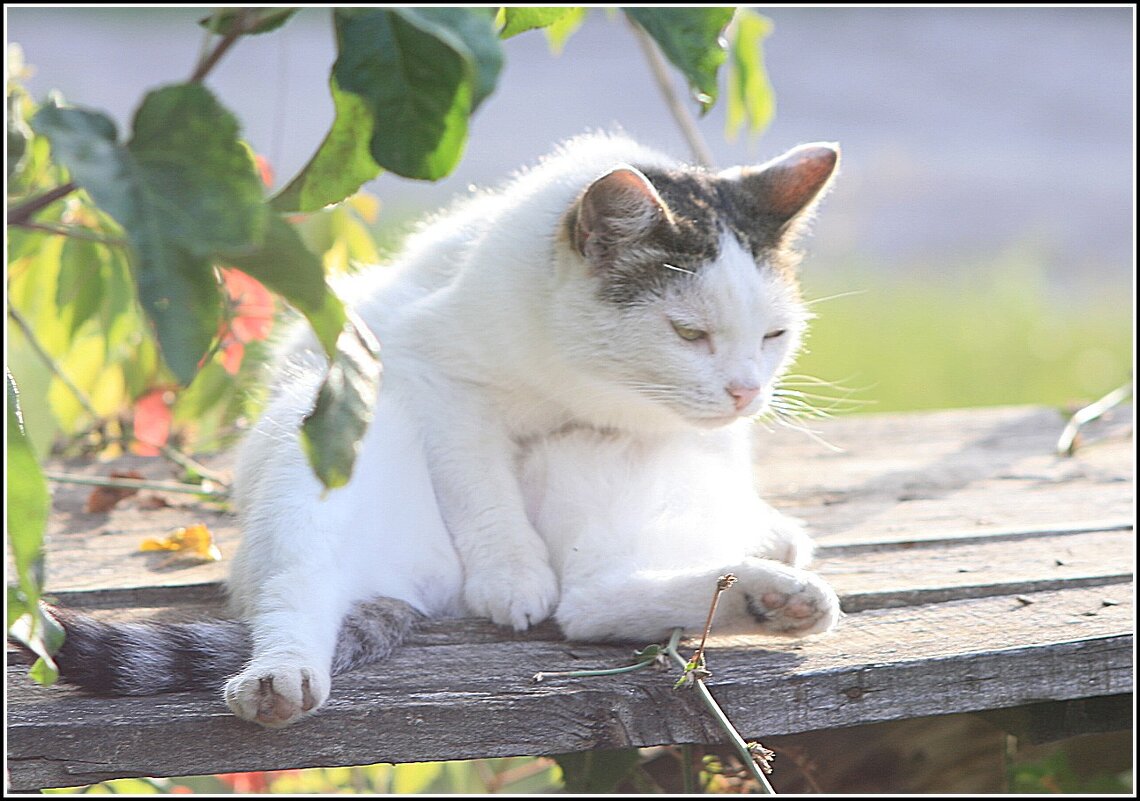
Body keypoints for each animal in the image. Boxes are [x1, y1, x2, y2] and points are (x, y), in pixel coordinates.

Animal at [35, 131, 843, 729]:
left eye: (773, 335)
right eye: (688, 333)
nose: (746, 389)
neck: (585, 387)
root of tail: (431, 597)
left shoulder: (702, 437)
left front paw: (772, 529)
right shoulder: (433, 376)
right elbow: (480, 484)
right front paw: (511, 572)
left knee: (590, 602)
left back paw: (774, 598)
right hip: (330, 435)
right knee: (300, 589)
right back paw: (280, 679)